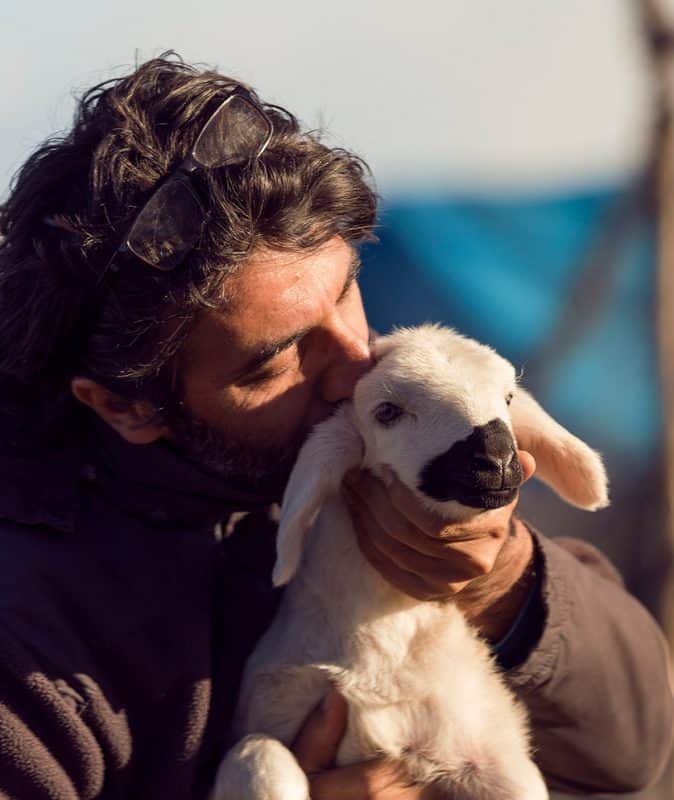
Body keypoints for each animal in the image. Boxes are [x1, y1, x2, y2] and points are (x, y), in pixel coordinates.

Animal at [211, 324, 608, 800]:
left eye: (509, 398)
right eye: (388, 412)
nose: (497, 458)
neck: (385, 640)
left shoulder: (495, 758)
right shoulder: (266, 714)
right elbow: (257, 750)